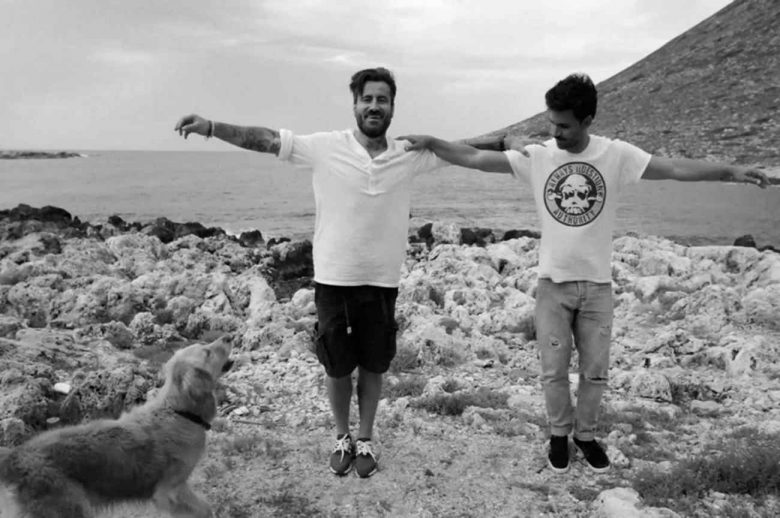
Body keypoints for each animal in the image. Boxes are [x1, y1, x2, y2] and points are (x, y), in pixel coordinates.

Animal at [0, 335, 234, 518]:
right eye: (207, 352)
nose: (228, 337)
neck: (179, 412)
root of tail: (15, 456)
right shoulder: (170, 491)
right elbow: (204, 509)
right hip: (68, 508)